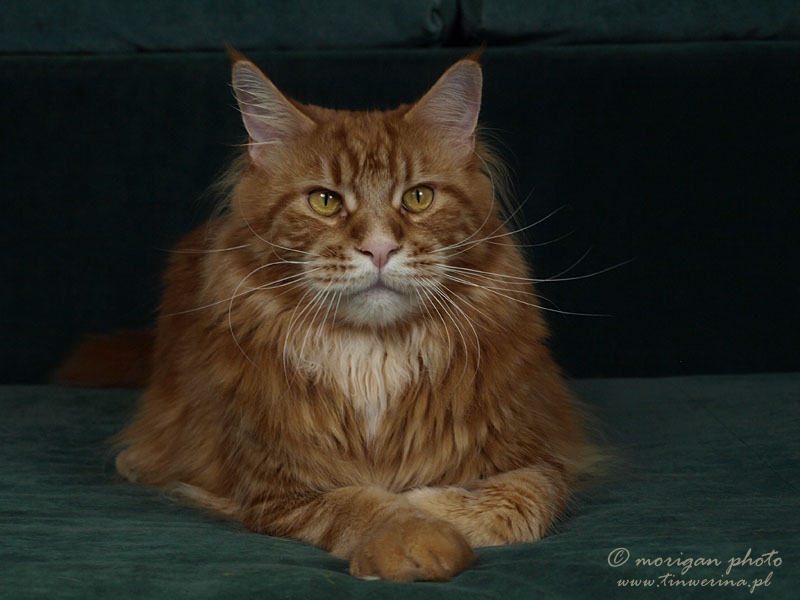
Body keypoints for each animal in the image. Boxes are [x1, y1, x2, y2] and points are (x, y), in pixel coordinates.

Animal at [56, 50, 600, 580]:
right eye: (324, 201)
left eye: (418, 197)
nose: (380, 249)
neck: (373, 355)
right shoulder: (277, 487)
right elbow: (363, 505)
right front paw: (419, 538)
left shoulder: (541, 454)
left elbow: (524, 500)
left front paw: (434, 505)